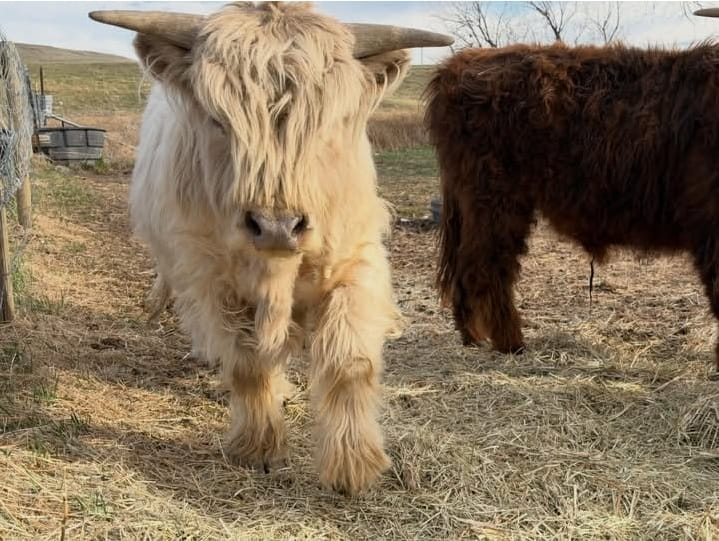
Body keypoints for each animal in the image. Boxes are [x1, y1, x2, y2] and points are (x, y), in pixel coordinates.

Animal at [89, 2, 452, 495]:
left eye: (330, 122)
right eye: (218, 120)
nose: (277, 226)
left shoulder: (355, 260)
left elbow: (350, 361)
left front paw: (354, 463)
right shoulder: (213, 279)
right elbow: (248, 363)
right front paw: (258, 446)